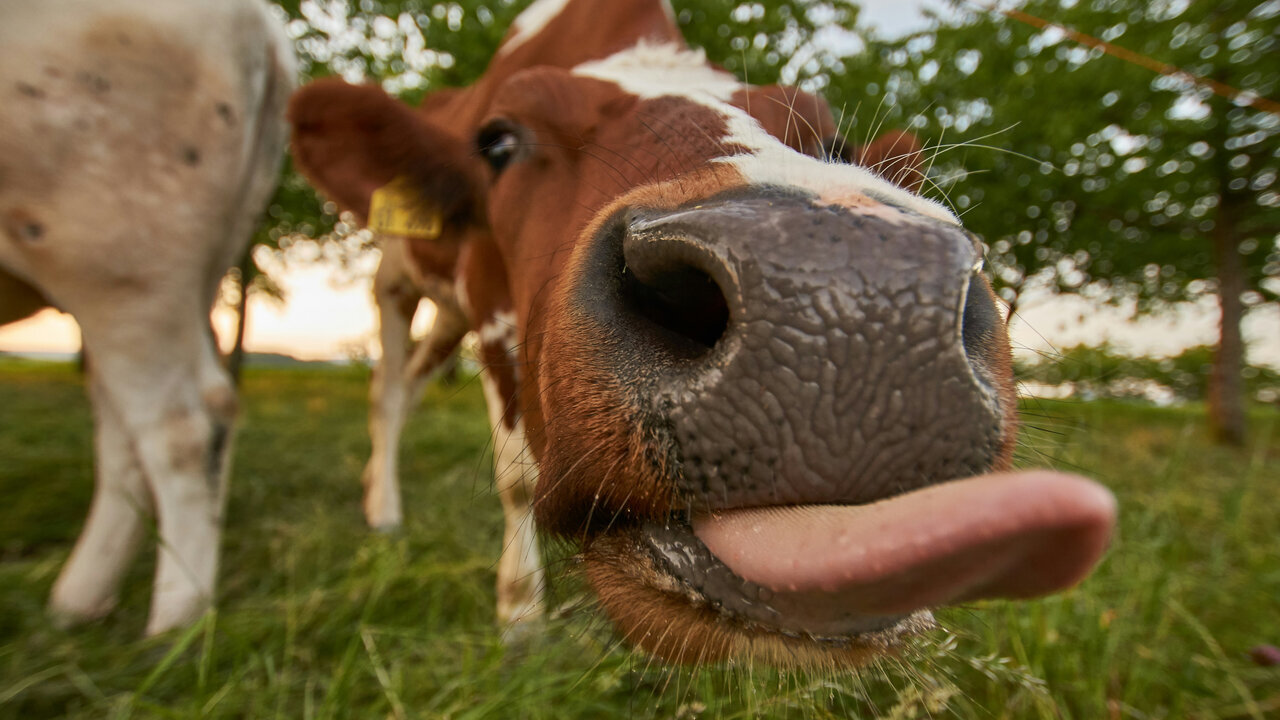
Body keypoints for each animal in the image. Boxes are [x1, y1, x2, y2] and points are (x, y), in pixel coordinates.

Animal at [0, 0, 293, 632]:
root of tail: (262, 25)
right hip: (182, 271)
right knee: (127, 439)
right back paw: (79, 604)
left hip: (120, 249)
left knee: (181, 426)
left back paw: (174, 625)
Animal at [288, 0, 1111, 666]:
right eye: (497, 142)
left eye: (835, 143)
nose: (846, 302)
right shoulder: (488, 301)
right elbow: (518, 477)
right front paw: (519, 618)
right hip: (397, 281)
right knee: (388, 388)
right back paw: (384, 512)